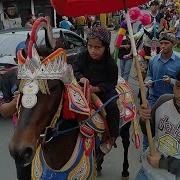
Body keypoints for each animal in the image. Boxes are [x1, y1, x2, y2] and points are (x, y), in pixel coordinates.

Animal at [8, 16, 139, 179]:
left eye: (53, 87)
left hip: (126, 127)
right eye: (18, 85)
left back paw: (125, 170)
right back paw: (100, 164)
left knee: (126, 144)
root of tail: (122, 81)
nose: (20, 151)